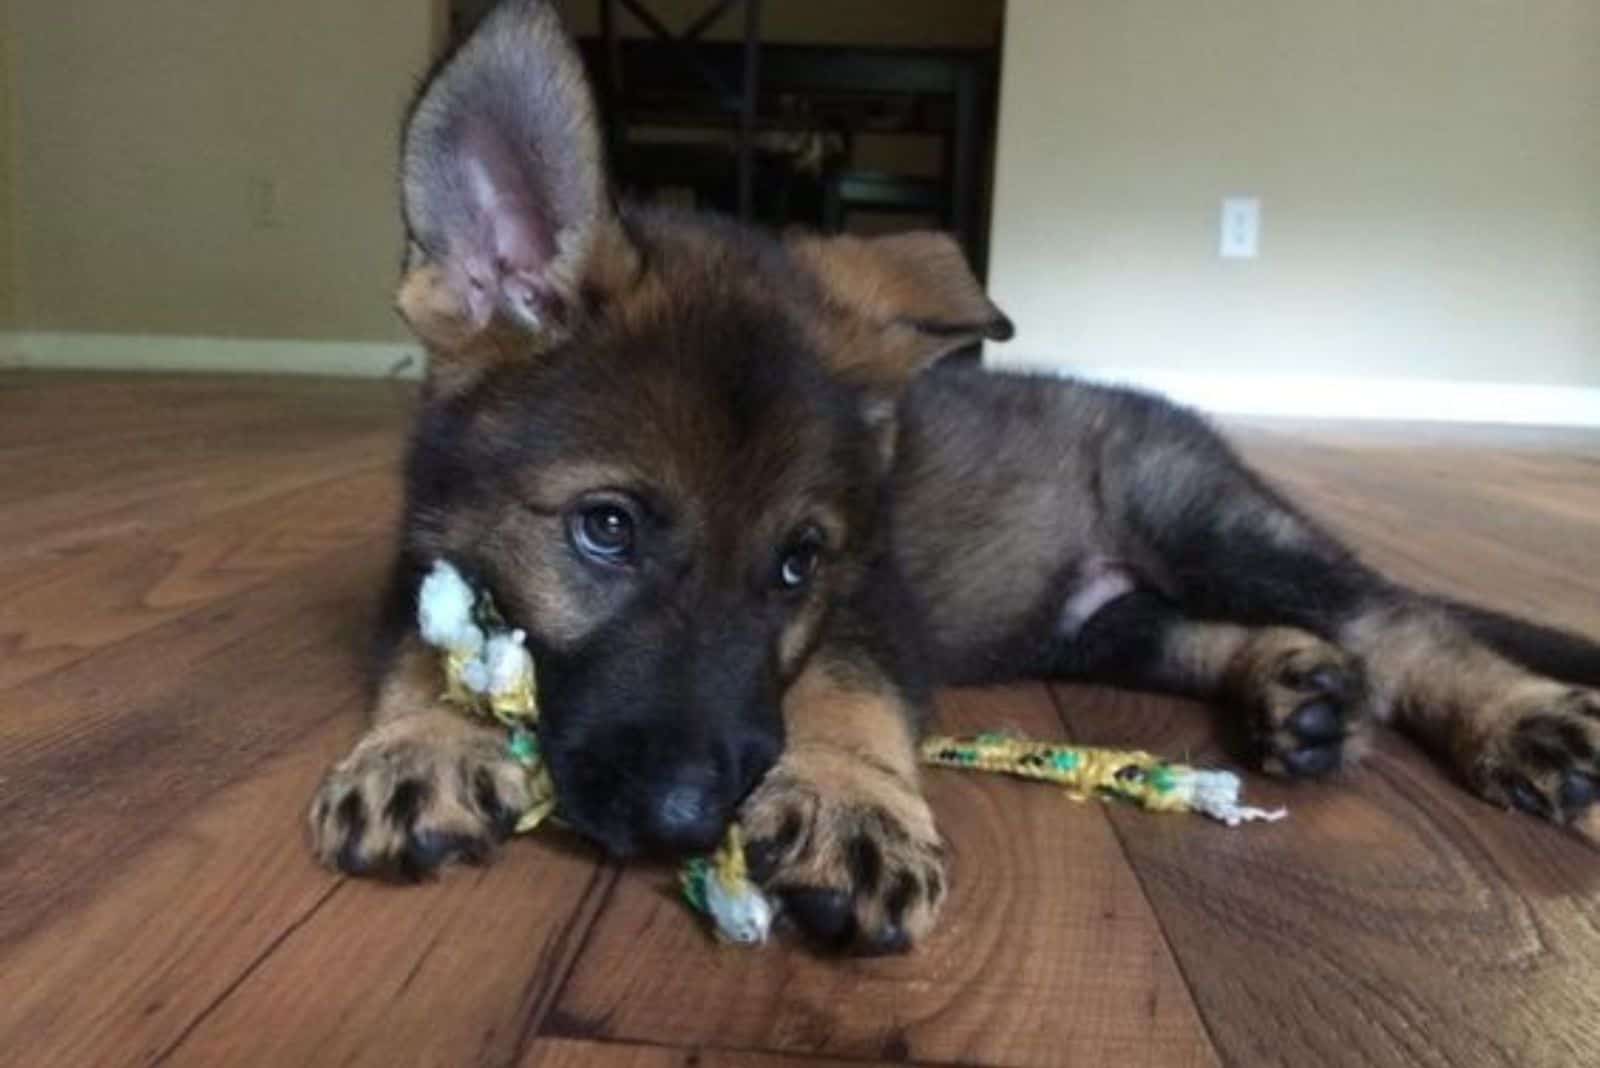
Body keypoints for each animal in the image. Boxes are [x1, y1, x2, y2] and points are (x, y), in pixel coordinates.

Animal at [305, 0, 1593, 952]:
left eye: (798, 565)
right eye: (606, 529)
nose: (688, 821)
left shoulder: (875, 603)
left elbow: (841, 687)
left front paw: (847, 799)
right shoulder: (421, 554)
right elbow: (422, 646)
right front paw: (419, 745)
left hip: (1201, 524)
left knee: (1398, 619)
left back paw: (1518, 721)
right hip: (1088, 624)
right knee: (1210, 634)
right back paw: (1297, 687)